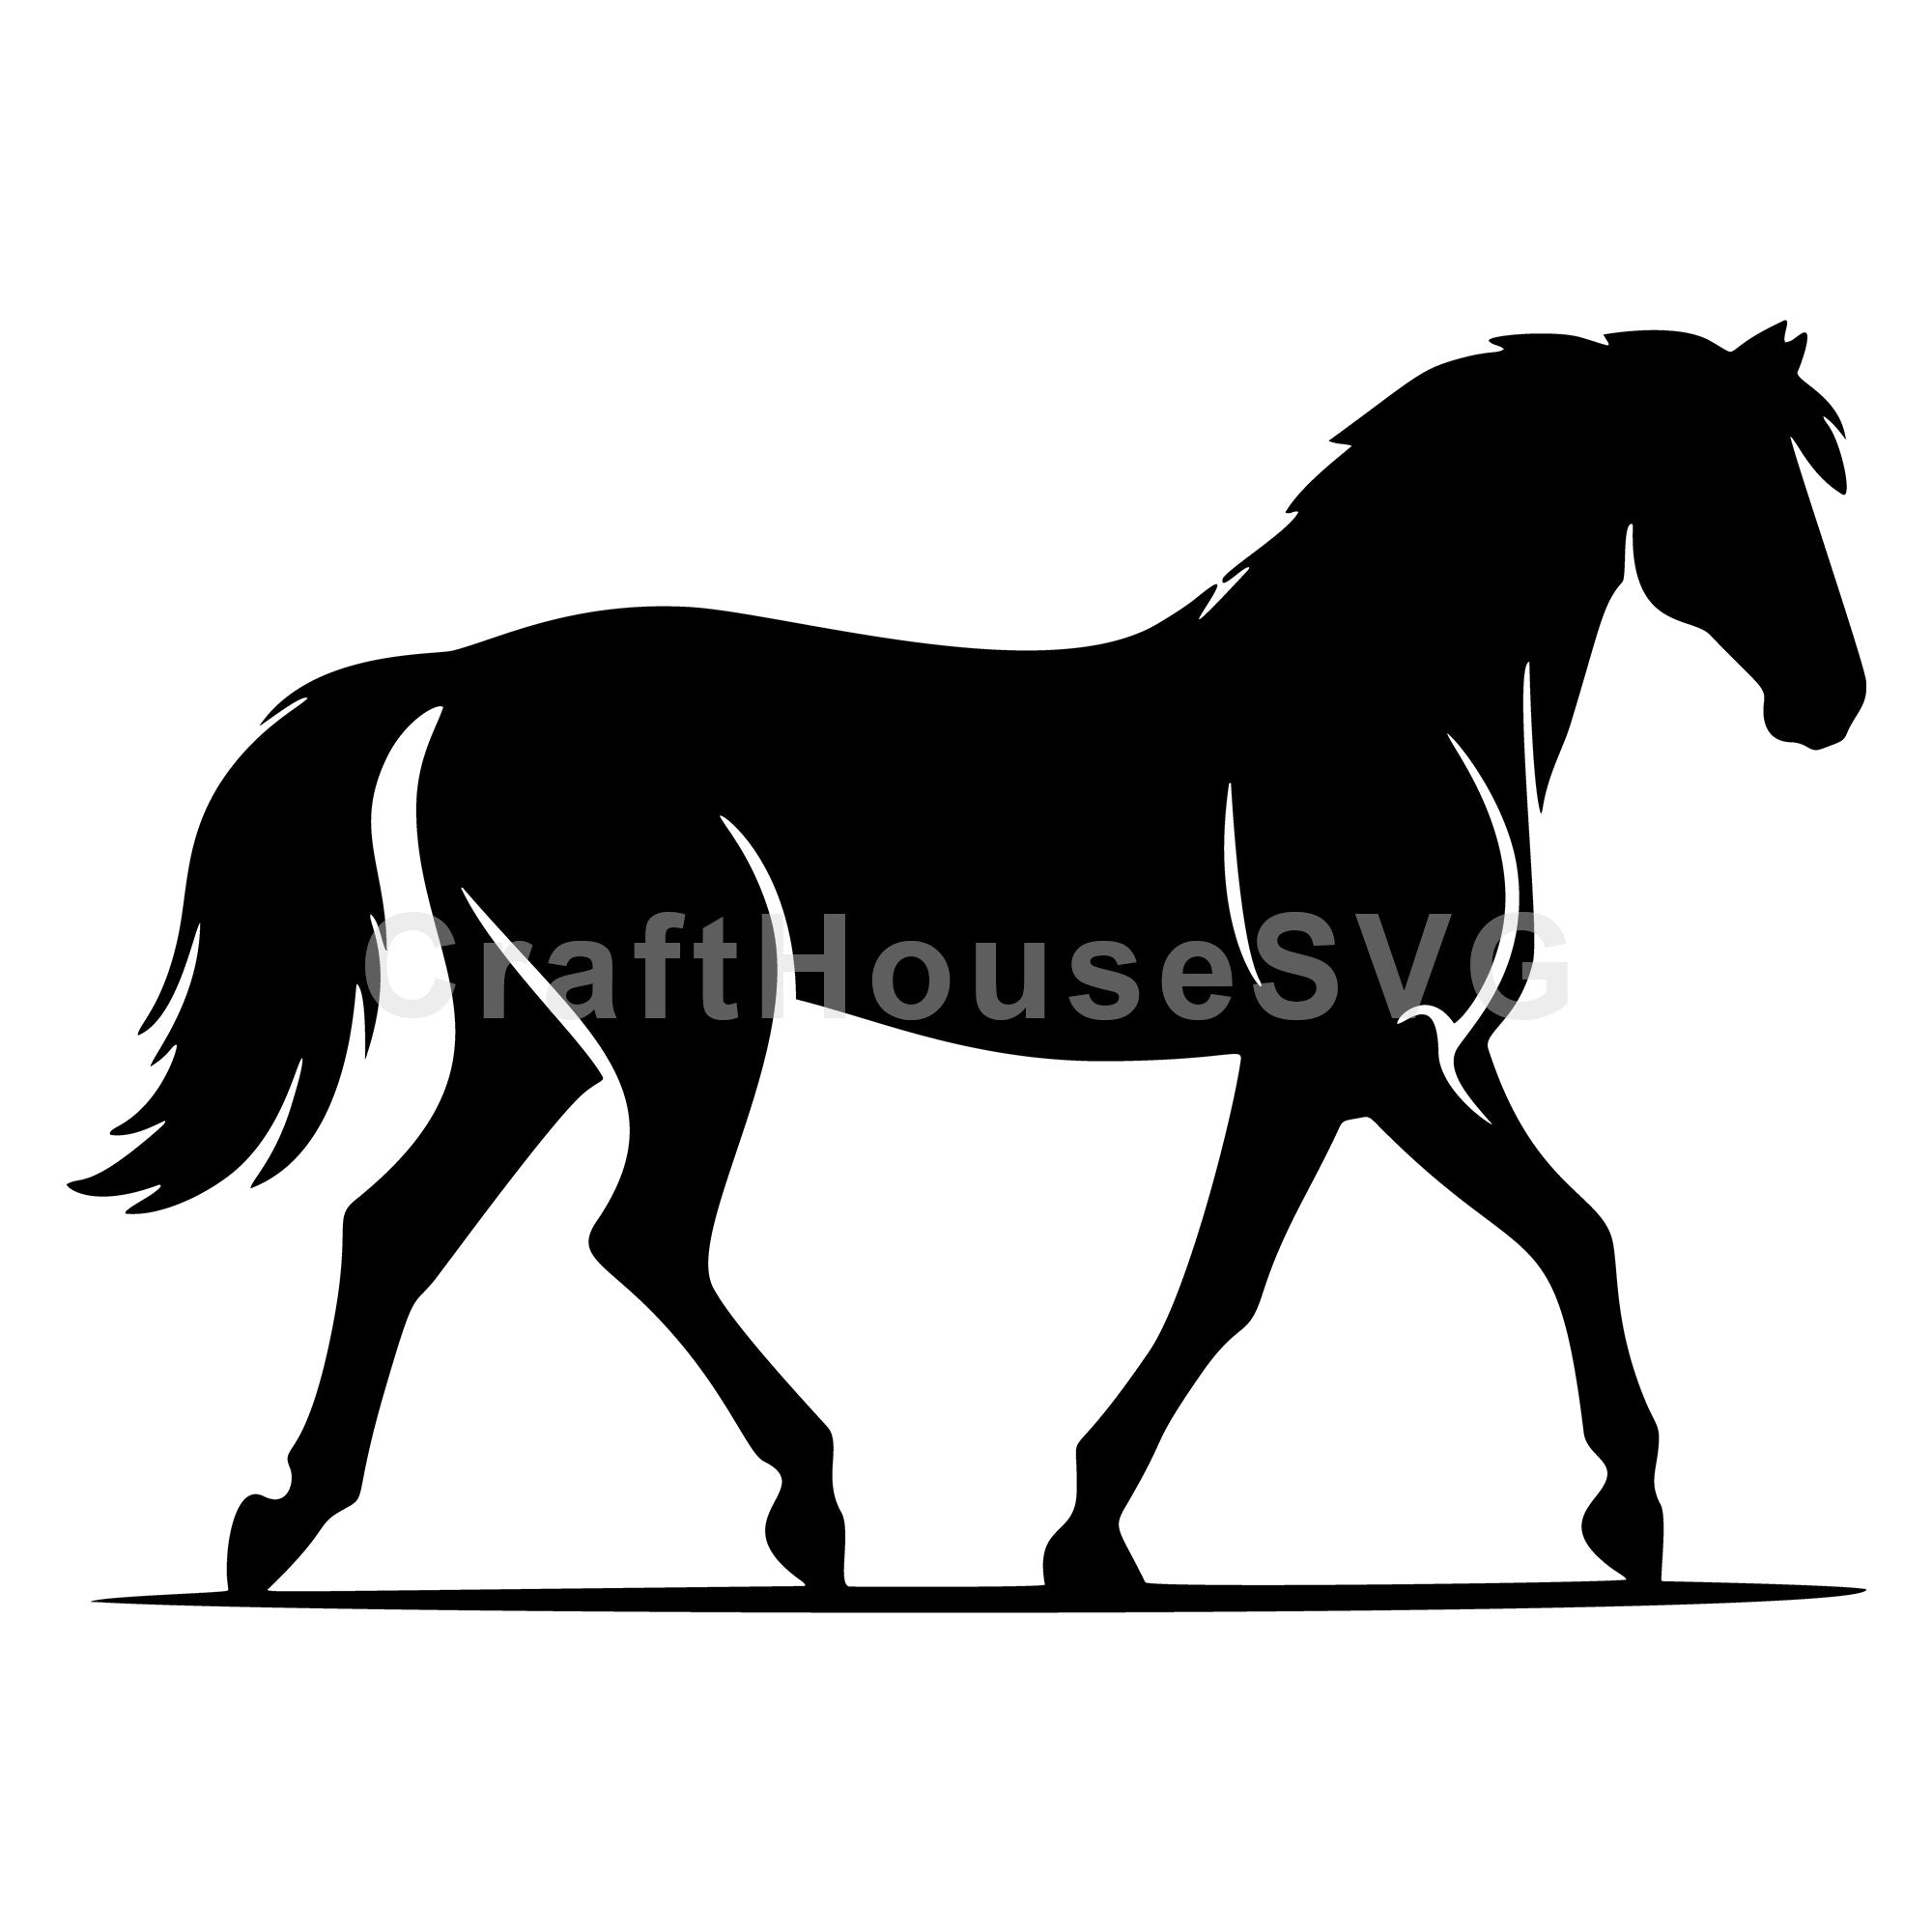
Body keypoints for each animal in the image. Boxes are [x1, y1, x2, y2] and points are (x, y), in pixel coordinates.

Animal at [75, 325, 1864, 1594]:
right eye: (1728, 487)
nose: (1832, 700)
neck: (1375, 705)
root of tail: (475, 671)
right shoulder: (1354, 1048)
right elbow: (1351, 1264)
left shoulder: (1383, 1060)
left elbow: (1477, 1243)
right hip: (683, 1015)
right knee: (637, 1235)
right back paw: (807, 1511)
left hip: (539, 1031)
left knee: (401, 1226)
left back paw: (279, 1521)